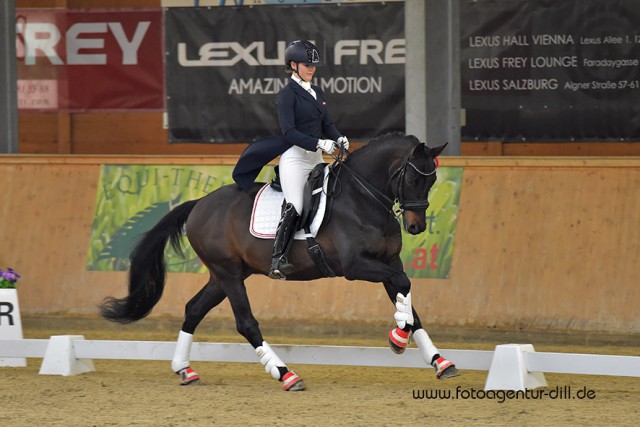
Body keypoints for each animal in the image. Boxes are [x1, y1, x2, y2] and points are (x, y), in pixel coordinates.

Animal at [101, 133, 456, 392]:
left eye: (432, 181)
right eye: (413, 179)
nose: (416, 227)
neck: (363, 198)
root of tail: (200, 204)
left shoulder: (389, 261)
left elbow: (408, 299)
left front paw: (438, 360)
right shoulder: (355, 266)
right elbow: (404, 287)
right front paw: (398, 338)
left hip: (223, 275)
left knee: (193, 309)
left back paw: (184, 370)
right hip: (229, 274)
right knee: (246, 323)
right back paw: (286, 374)